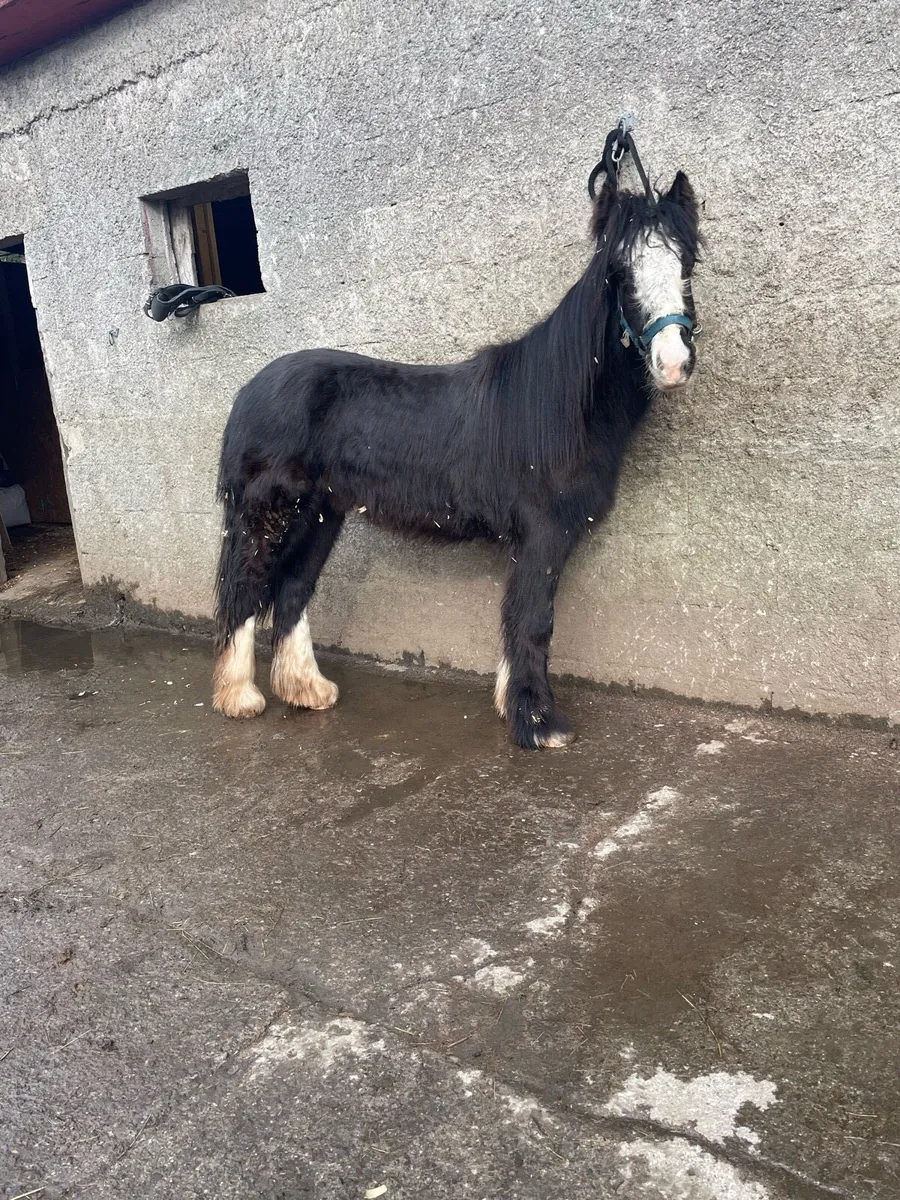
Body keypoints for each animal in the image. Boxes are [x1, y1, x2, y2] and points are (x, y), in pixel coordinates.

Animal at [211, 131, 702, 749]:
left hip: (319, 514)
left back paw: (308, 690)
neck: (558, 401)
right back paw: (239, 698)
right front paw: (538, 723)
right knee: (245, 589)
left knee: (293, 590)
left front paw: (516, 705)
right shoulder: (543, 530)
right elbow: (533, 620)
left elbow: (520, 618)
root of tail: (248, 390)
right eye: (621, 272)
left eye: (686, 264)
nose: (674, 363)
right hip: (269, 512)